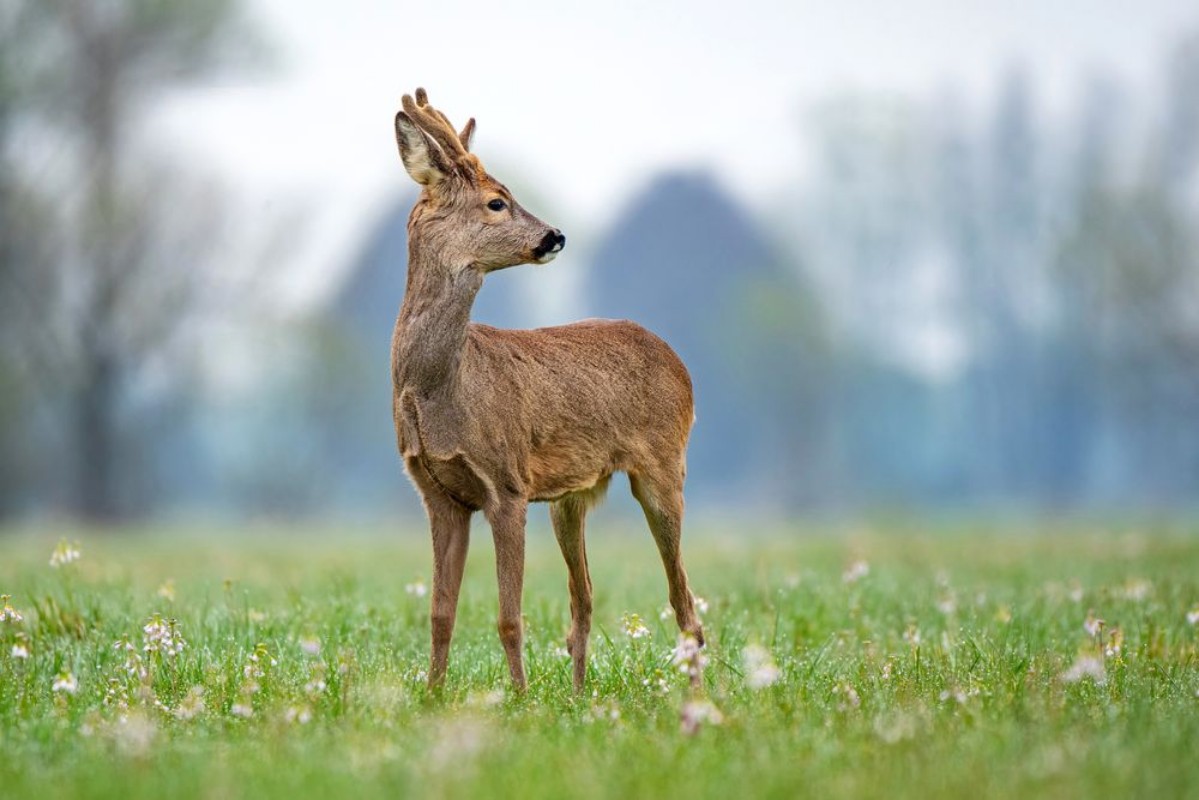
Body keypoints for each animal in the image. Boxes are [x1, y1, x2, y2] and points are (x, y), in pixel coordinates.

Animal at [390, 88, 704, 693]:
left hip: (663, 466)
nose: (554, 235)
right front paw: (433, 695)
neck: (443, 388)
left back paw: (698, 697)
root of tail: (679, 363)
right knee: (584, 599)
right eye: (496, 202)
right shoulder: (437, 492)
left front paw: (520, 697)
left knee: (685, 602)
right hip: (572, 495)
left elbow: (509, 617)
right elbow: (441, 613)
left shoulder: (507, 483)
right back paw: (581, 696)